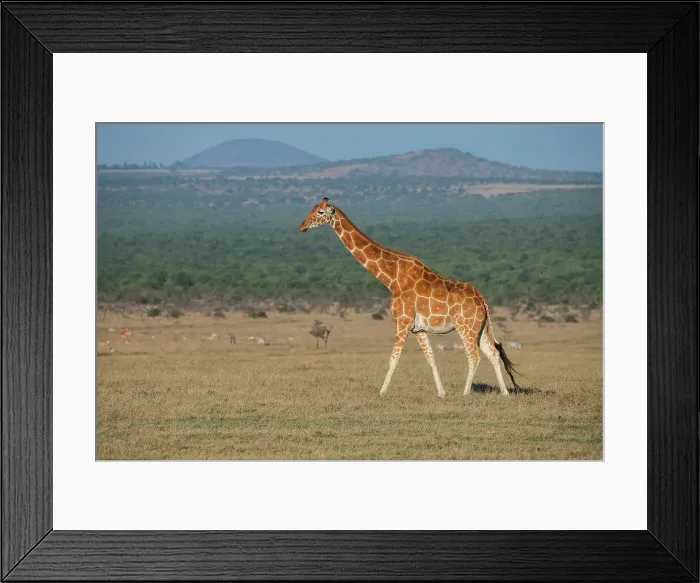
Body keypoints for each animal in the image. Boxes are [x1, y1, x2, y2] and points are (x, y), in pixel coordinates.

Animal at [299, 197, 520, 398]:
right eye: (312, 208)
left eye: (320, 212)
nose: (302, 226)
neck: (392, 279)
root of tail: (482, 299)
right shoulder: (418, 329)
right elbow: (431, 359)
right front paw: (441, 393)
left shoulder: (402, 322)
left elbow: (393, 359)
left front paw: (382, 392)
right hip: (480, 327)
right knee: (493, 353)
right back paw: (504, 393)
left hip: (465, 327)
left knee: (474, 356)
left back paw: (465, 393)